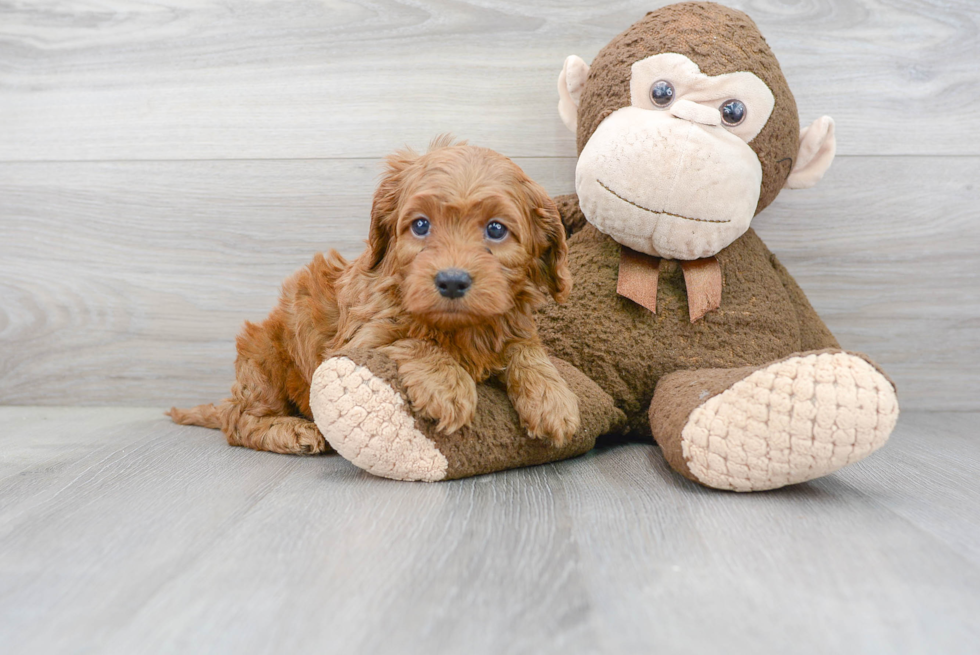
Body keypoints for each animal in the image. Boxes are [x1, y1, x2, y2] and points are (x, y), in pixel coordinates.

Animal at [169, 138, 580, 456]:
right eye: (420, 225)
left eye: (496, 230)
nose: (451, 281)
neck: (458, 327)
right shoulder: (359, 340)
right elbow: (414, 340)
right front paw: (447, 385)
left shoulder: (511, 324)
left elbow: (526, 348)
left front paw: (553, 398)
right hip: (265, 358)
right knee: (238, 421)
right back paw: (292, 430)